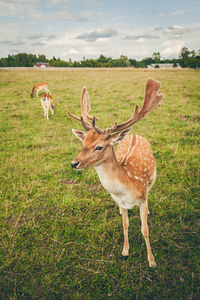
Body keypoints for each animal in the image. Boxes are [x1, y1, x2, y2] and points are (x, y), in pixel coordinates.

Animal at [68, 78, 163, 268]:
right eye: (83, 143)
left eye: (99, 147)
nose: (74, 163)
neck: (126, 189)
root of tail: (134, 135)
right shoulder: (120, 202)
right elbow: (125, 224)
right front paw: (125, 252)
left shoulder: (142, 198)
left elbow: (145, 229)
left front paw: (152, 261)